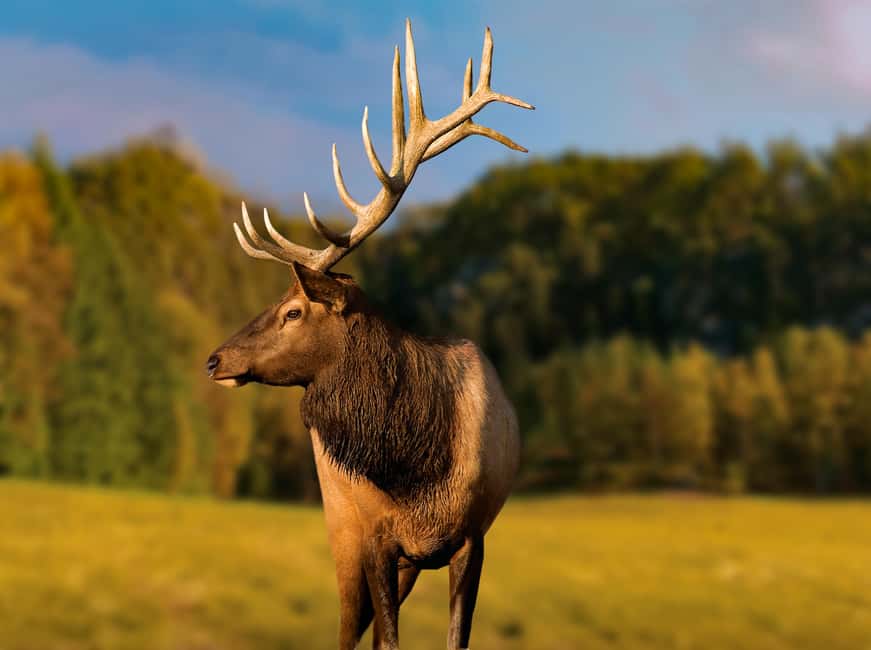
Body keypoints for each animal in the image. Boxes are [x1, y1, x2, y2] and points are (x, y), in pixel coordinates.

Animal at [206, 20, 532, 650]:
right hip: (341, 527)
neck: (419, 470)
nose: (214, 359)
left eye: (292, 311)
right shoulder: (377, 534)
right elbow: (387, 639)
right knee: (345, 629)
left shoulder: (473, 536)